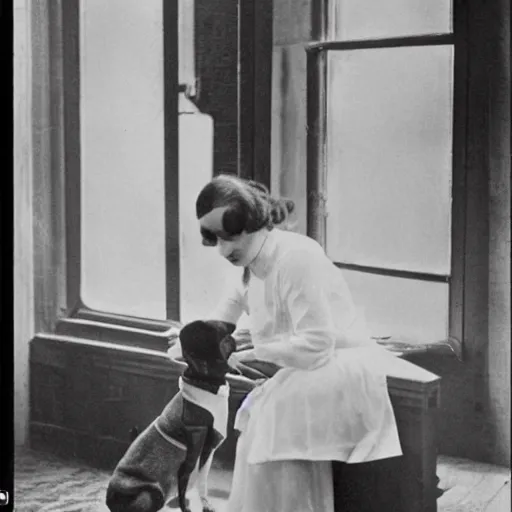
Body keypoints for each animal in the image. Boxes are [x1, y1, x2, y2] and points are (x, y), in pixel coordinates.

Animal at [107, 320, 238, 512]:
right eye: (220, 332)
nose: (232, 329)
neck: (205, 382)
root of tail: (110, 499)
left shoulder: (207, 454)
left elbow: (201, 483)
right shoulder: (192, 457)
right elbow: (187, 489)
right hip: (151, 494)